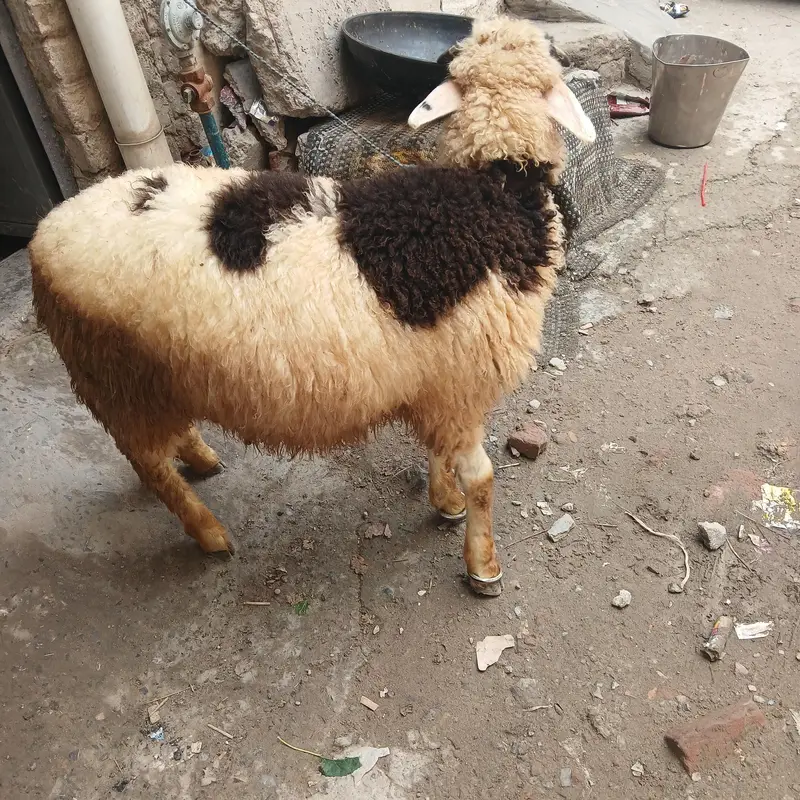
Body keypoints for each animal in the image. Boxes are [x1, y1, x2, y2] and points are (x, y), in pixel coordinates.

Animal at [28, 16, 595, 597]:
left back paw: (201, 457)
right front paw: (482, 564)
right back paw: (208, 532)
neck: (489, 196)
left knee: (165, 439)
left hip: (151, 373)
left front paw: (446, 502)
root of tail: (46, 232)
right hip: (114, 375)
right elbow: (481, 479)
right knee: (149, 466)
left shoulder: (436, 383)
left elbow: (439, 455)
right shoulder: (460, 384)